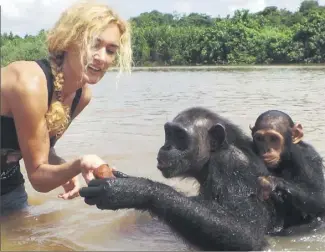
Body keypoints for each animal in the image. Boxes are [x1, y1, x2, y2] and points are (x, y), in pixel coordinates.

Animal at [78, 106, 276, 250]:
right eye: (169, 133)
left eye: (180, 135)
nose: (166, 146)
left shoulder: (232, 165)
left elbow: (245, 233)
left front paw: (133, 190)